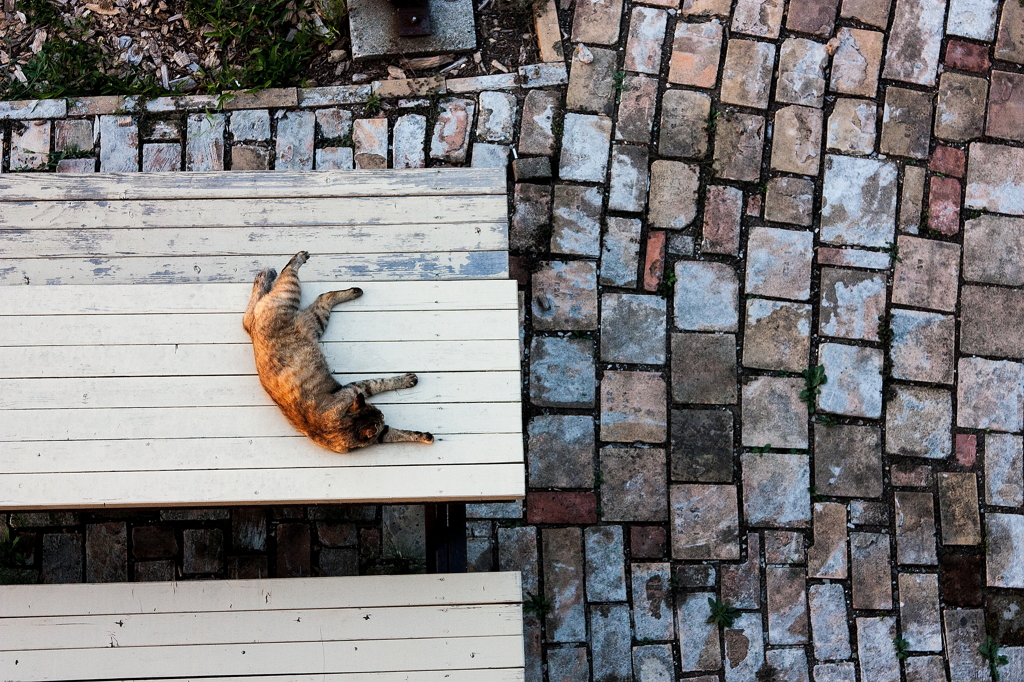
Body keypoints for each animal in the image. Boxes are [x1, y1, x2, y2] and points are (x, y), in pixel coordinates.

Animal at [241, 249, 434, 450]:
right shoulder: (356, 392)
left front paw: (423, 436)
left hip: (313, 319)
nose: (383, 415)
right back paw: (299, 259)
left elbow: (400, 432)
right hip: (297, 300)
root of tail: (254, 330)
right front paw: (407, 380)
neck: (335, 426)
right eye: (379, 413)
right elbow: (379, 384)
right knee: (295, 277)